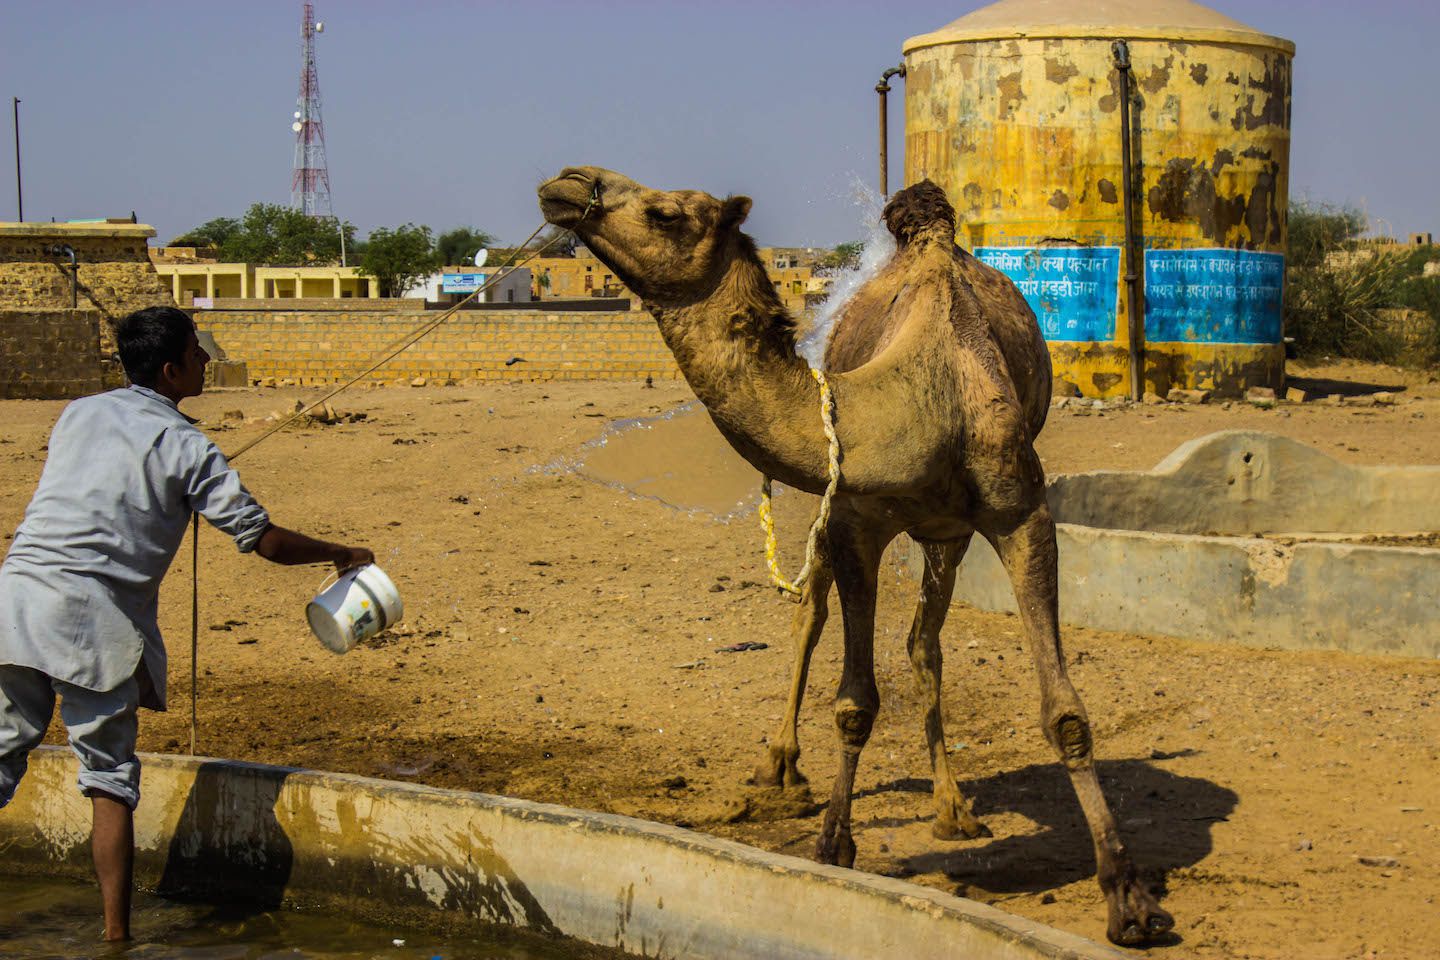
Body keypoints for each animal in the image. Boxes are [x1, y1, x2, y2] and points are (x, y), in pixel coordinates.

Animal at [538, 167, 1174, 946]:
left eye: (666, 214)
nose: (567, 184)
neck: (922, 401)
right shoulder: (852, 522)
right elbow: (853, 701)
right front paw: (832, 844)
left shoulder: (1023, 515)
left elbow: (1065, 714)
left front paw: (1129, 897)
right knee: (808, 616)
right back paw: (780, 767)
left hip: (948, 532)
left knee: (924, 644)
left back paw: (952, 806)